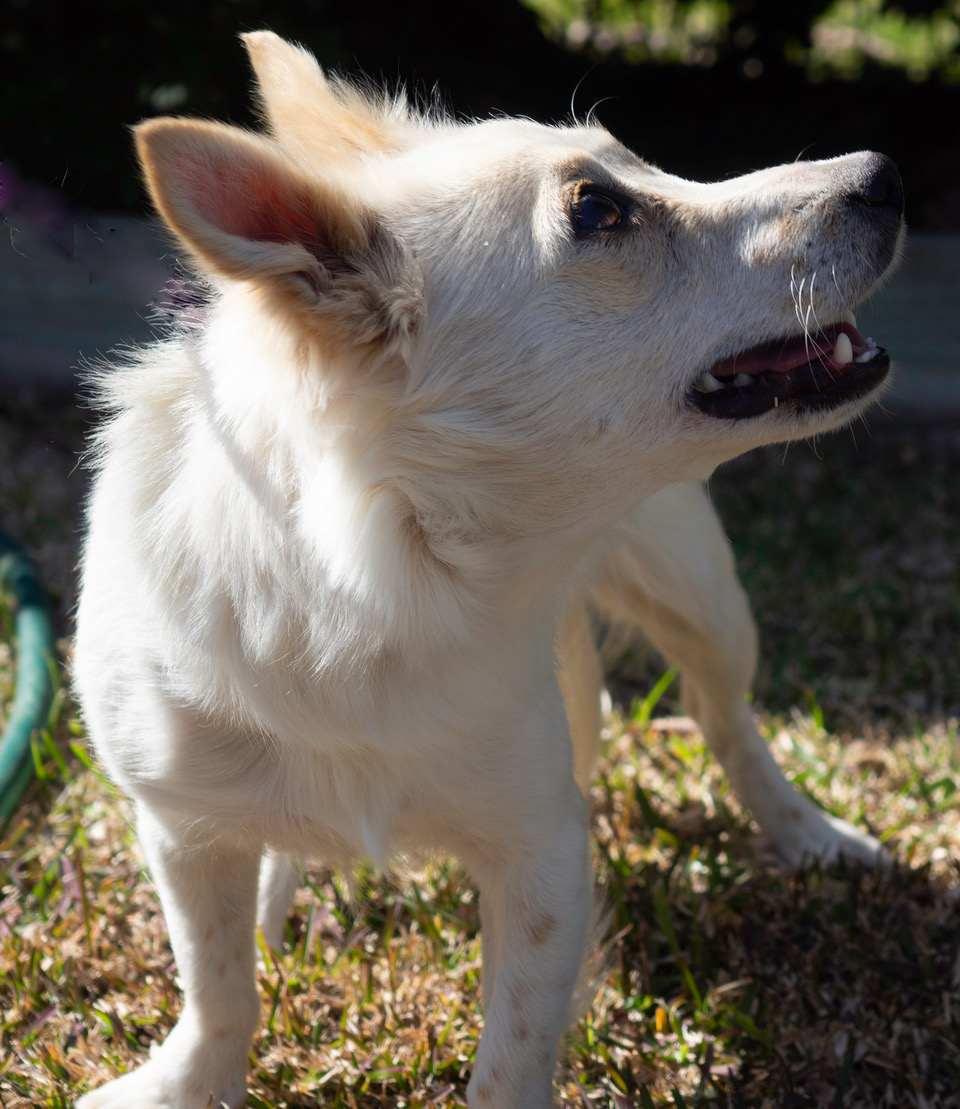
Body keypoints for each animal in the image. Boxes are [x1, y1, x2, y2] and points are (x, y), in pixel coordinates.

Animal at [73, 30, 904, 1109]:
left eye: (638, 164)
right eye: (599, 209)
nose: (884, 174)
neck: (388, 585)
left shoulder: (542, 853)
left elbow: (510, 1055)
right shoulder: (181, 827)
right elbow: (216, 984)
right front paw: (187, 1080)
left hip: (703, 596)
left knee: (727, 720)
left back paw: (808, 831)